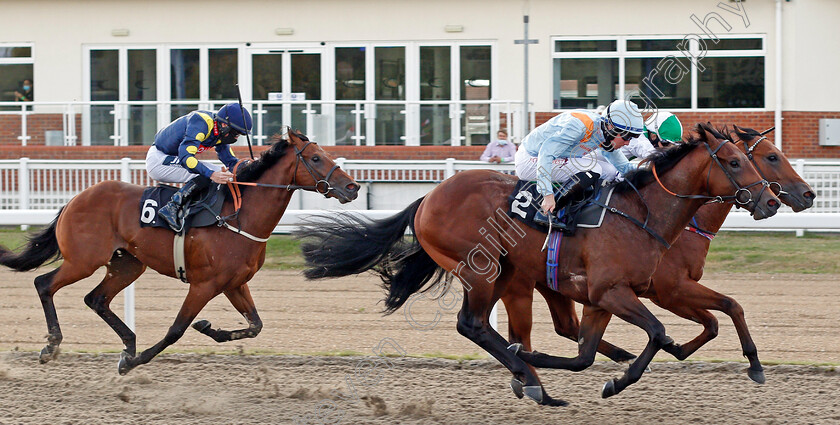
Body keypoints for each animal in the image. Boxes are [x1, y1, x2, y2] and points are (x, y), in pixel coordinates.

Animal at [0, 130, 358, 374]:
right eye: (316, 158)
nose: (352, 187)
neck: (239, 216)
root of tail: (76, 198)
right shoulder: (204, 285)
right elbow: (176, 330)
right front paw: (134, 362)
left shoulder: (234, 283)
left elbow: (255, 326)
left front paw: (209, 328)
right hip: (83, 259)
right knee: (44, 284)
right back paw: (52, 345)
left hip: (127, 264)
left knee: (96, 298)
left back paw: (128, 342)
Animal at [296, 122, 780, 404]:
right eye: (735, 161)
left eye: (754, 158)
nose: (772, 201)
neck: (642, 213)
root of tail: (429, 197)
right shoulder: (616, 292)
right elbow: (659, 332)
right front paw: (616, 378)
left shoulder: (602, 298)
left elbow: (585, 354)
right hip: (482, 268)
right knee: (472, 324)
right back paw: (530, 379)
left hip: (508, 273)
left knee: (496, 328)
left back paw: (529, 374)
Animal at [498, 124, 812, 396]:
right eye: (771, 157)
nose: (807, 195)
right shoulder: (670, 291)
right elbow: (722, 311)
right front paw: (752, 364)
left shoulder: (665, 291)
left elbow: (718, 317)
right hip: (520, 285)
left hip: (553, 283)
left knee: (567, 327)